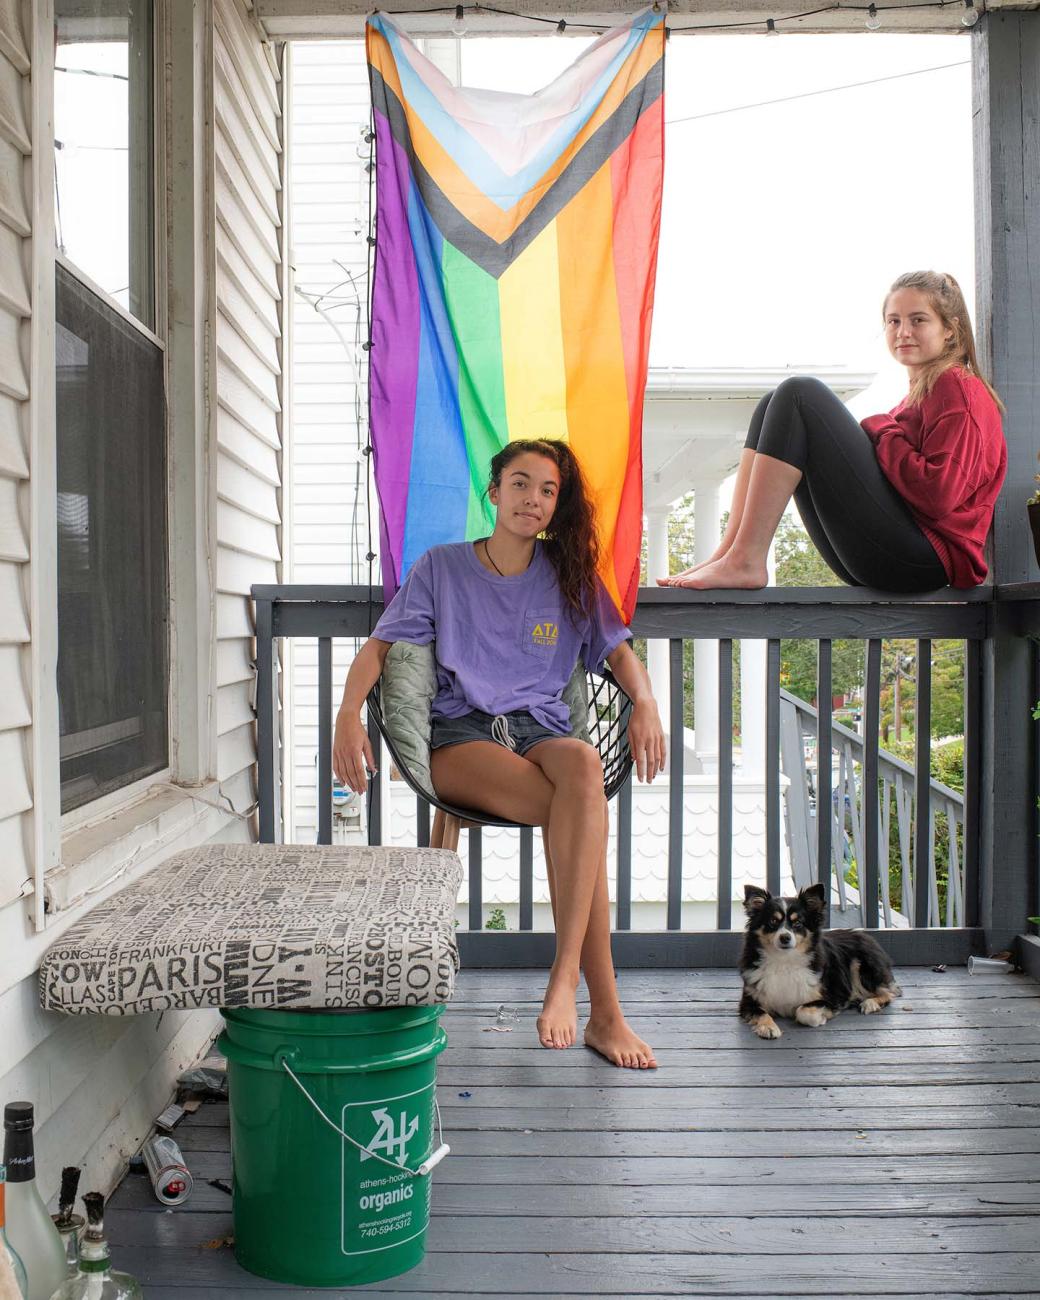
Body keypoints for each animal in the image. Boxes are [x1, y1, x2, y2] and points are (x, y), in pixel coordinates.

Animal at [738, 883, 899, 1034]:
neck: (784, 960)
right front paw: (768, 1027)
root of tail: (867, 936)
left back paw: (870, 1003)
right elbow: (761, 1014)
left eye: (798, 923)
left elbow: (803, 1011)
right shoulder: (748, 1002)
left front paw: (820, 1018)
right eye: (772, 921)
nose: (785, 937)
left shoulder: (832, 998)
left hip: (862, 966)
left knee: (888, 992)